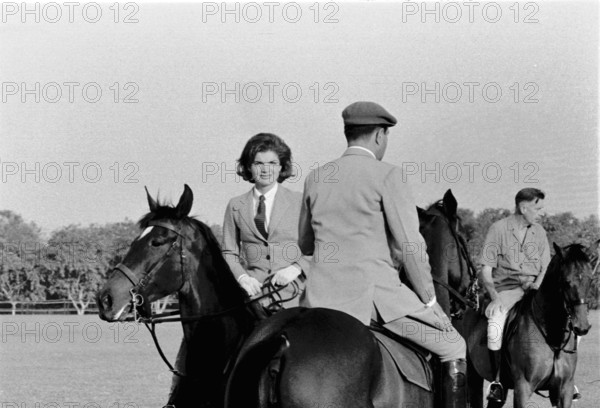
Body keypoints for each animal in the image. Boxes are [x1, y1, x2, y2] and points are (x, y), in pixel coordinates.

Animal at [466, 244, 592, 406]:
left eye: (590, 280)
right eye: (566, 281)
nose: (582, 326)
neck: (552, 336)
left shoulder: (565, 389)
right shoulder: (523, 388)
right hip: (473, 377)